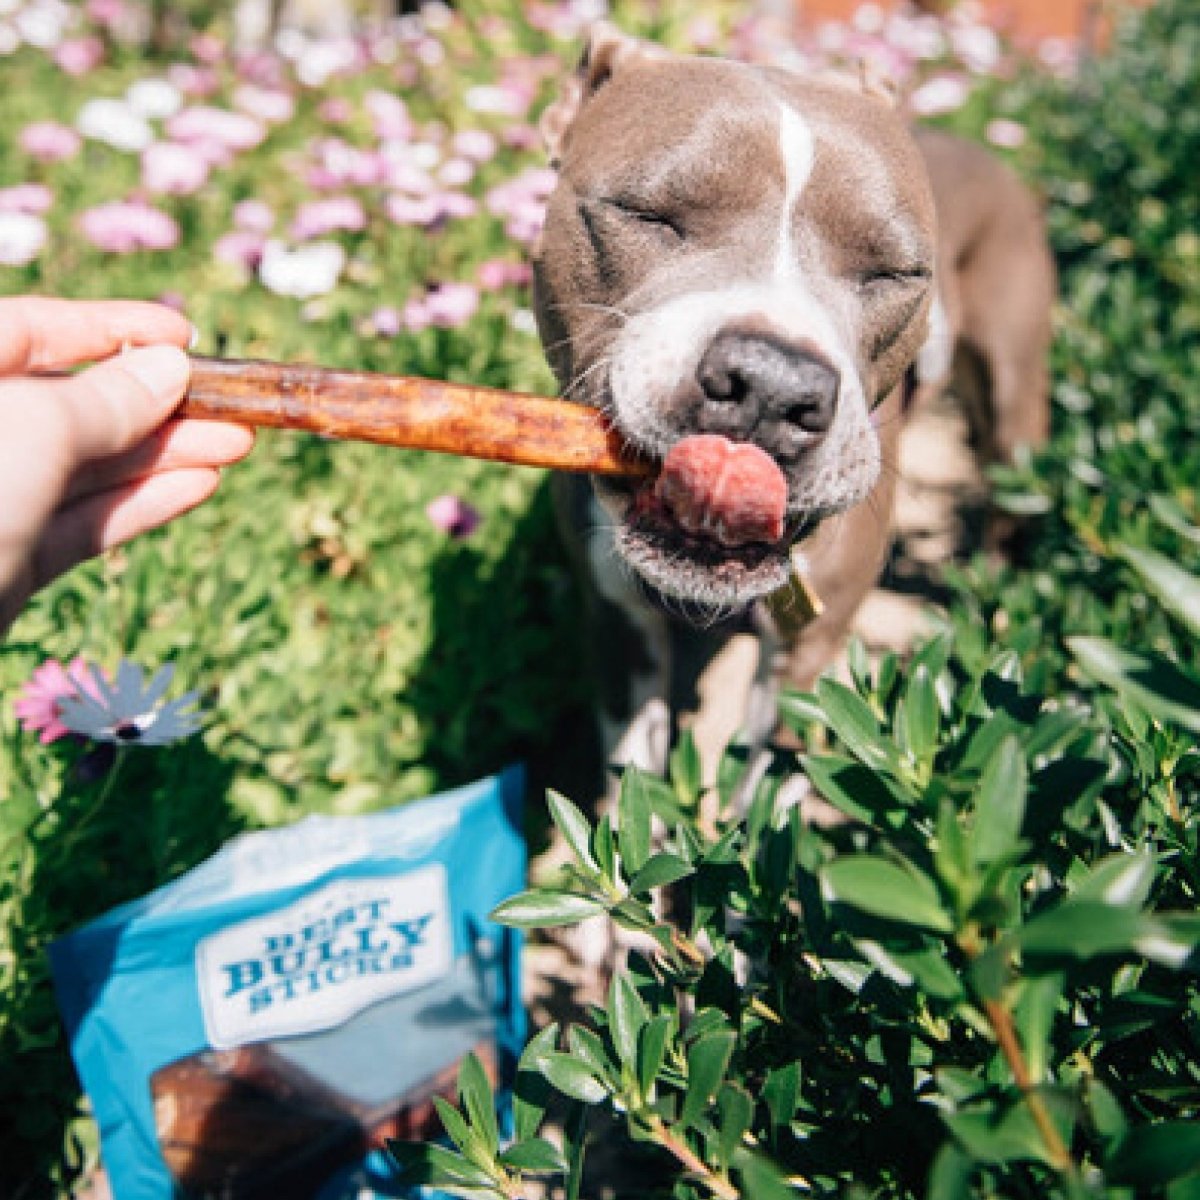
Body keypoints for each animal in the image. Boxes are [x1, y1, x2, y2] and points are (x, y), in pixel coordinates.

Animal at [532, 25, 1051, 787]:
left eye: (894, 272)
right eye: (648, 215)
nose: (772, 384)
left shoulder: (810, 659)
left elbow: (771, 792)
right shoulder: (616, 622)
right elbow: (635, 790)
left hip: (1014, 414)